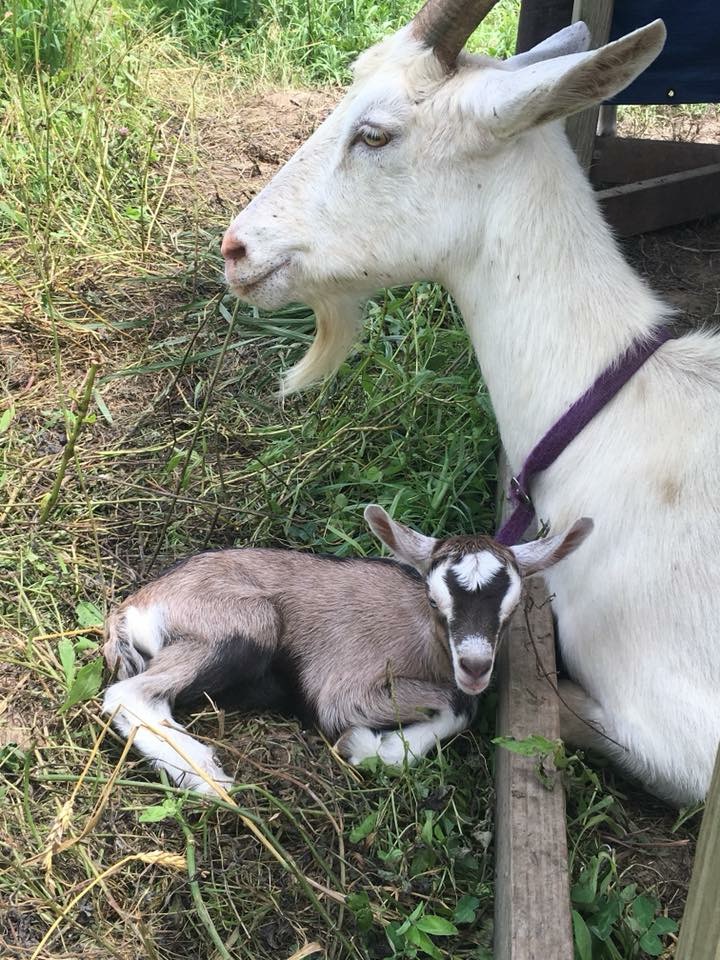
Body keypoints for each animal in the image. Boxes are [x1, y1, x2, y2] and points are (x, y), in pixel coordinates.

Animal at [102, 506, 592, 792]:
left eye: (509, 610)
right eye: (435, 601)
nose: (474, 666)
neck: (418, 633)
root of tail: (133, 607)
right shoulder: (341, 691)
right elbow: (458, 707)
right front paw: (366, 746)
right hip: (243, 624)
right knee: (127, 695)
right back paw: (206, 776)